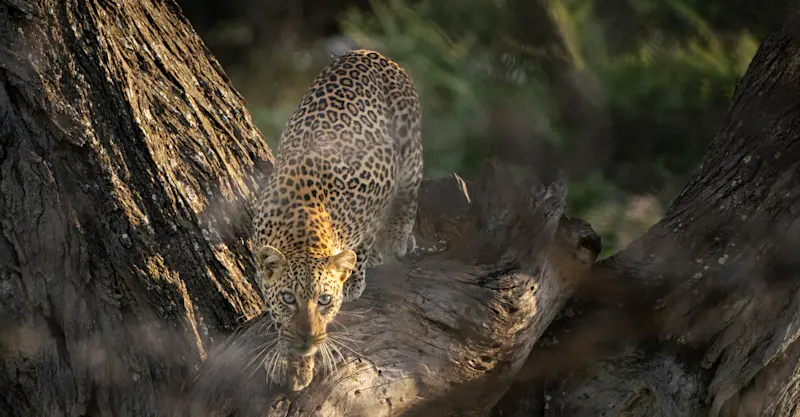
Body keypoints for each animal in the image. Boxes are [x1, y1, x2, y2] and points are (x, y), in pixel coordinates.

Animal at [251, 49, 423, 391]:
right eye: (289, 298)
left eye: (325, 300)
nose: (307, 338)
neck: (301, 229)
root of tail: (368, 51)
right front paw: (293, 359)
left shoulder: (378, 183)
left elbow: (363, 244)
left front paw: (354, 277)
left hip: (410, 148)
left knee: (409, 194)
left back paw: (397, 237)